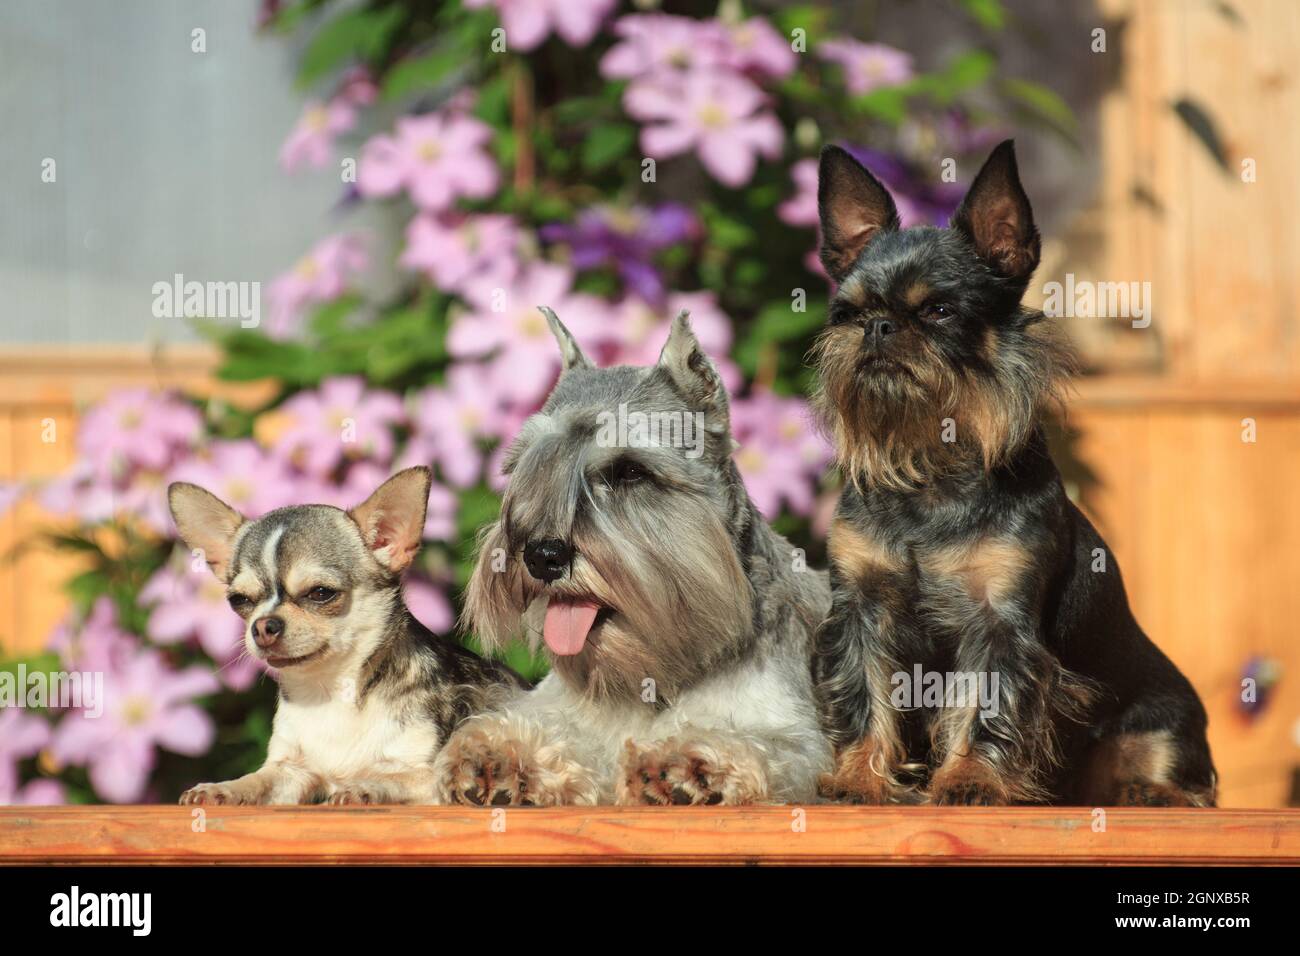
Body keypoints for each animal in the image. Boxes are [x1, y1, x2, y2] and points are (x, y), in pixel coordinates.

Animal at [167, 468, 522, 806]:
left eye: (321, 593)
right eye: (239, 600)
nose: (264, 626)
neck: (331, 691)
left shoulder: (435, 774)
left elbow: (394, 776)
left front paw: (362, 785)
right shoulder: (292, 770)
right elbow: (260, 779)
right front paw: (223, 788)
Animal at [428, 310, 832, 806]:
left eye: (631, 471)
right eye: (532, 464)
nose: (542, 556)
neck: (656, 671)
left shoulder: (797, 742)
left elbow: (759, 746)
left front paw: (687, 764)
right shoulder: (558, 710)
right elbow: (551, 731)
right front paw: (500, 756)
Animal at [811, 138, 1216, 806]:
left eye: (940, 311)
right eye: (848, 312)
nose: (878, 326)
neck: (933, 465)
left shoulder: (1000, 621)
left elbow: (987, 702)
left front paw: (970, 778)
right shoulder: (861, 612)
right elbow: (864, 692)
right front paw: (856, 777)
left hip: (1164, 717)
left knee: (1178, 776)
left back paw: (1151, 793)